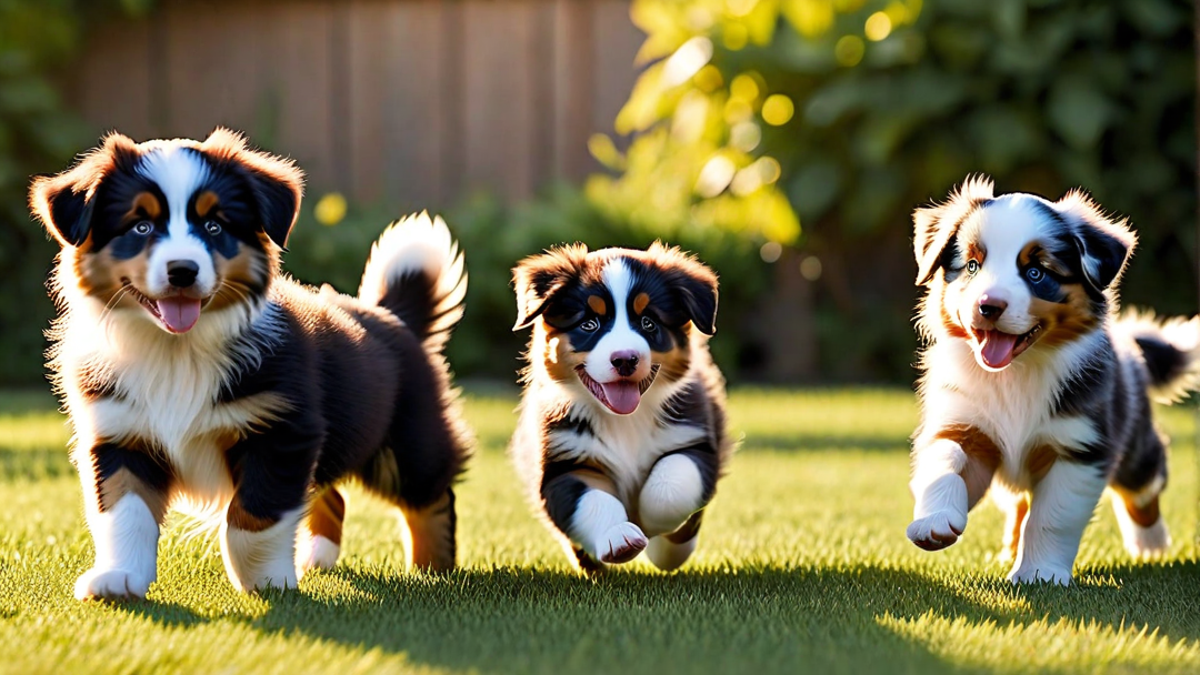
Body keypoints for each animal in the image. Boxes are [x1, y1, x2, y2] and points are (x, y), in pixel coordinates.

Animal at [28, 128, 468, 595]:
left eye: (214, 226)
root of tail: (393, 315)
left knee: (431, 497)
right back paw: (317, 557)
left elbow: (252, 518)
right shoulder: (120, 433)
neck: (177, 352)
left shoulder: (281, 430)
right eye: (140, 226)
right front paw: (119, 577)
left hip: (409, 439)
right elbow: (124, 513)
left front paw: (266, 581)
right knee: (330, 493)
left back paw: (432, 571)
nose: (182, 270)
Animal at [508, 243, 729, 569]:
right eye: (589, 324)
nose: (624, 359)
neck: (625, 420)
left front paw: (651, 529)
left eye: (649, 323)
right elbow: (593, 501)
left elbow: (669, 485)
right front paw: (619, 537)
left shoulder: (694, 442)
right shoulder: (565, 463)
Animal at [907, 176, 1200, 581]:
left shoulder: (1080, 448)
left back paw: (1150, 544)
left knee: (1145, 485)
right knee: (1021, 503)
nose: (988, 306)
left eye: (1036, 273)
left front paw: (1039, 573)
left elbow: (1051, 517)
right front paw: (933, 523)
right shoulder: (964, 425)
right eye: (972, 266)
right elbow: (944, 463)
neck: (1015, 374)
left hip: (1135, 445)